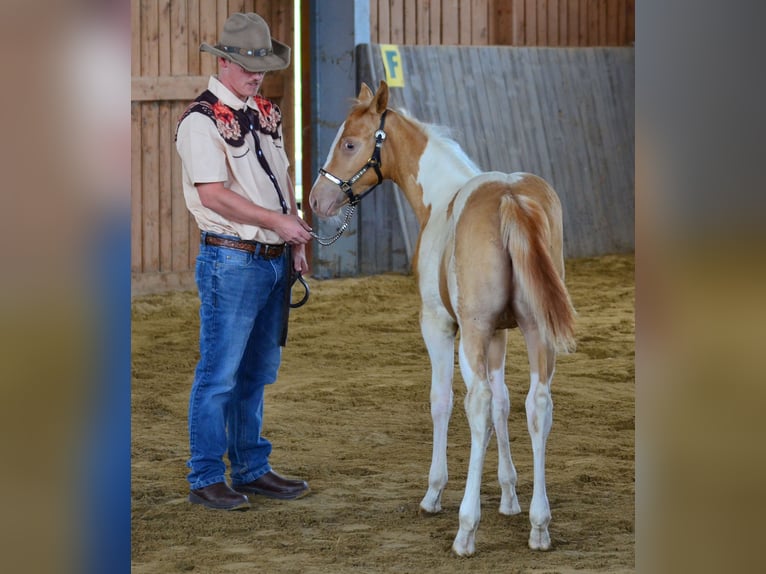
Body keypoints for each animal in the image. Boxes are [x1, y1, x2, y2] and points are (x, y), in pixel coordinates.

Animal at [308, 81, 576, 557]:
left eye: (350, 143)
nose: (318, 199)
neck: (442, 200)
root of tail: (511, 197)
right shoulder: (499, 335)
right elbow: (505, 402)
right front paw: (509, 495)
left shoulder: (439, 324)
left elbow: (443, 401)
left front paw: (434, 493)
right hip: (535, 331)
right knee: (537, 404)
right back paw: (539, 525)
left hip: (471, 333)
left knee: (477, 403)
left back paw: (466, 529)